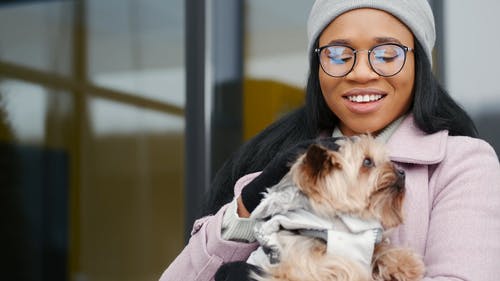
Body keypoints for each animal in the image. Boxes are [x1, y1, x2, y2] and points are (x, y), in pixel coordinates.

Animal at [217, 135, 424, 278]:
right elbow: (341, 266)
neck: (342, 222)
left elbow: (381, 249)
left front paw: (405, 265)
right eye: (367, 162)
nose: (402, 172)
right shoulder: (300, 261)